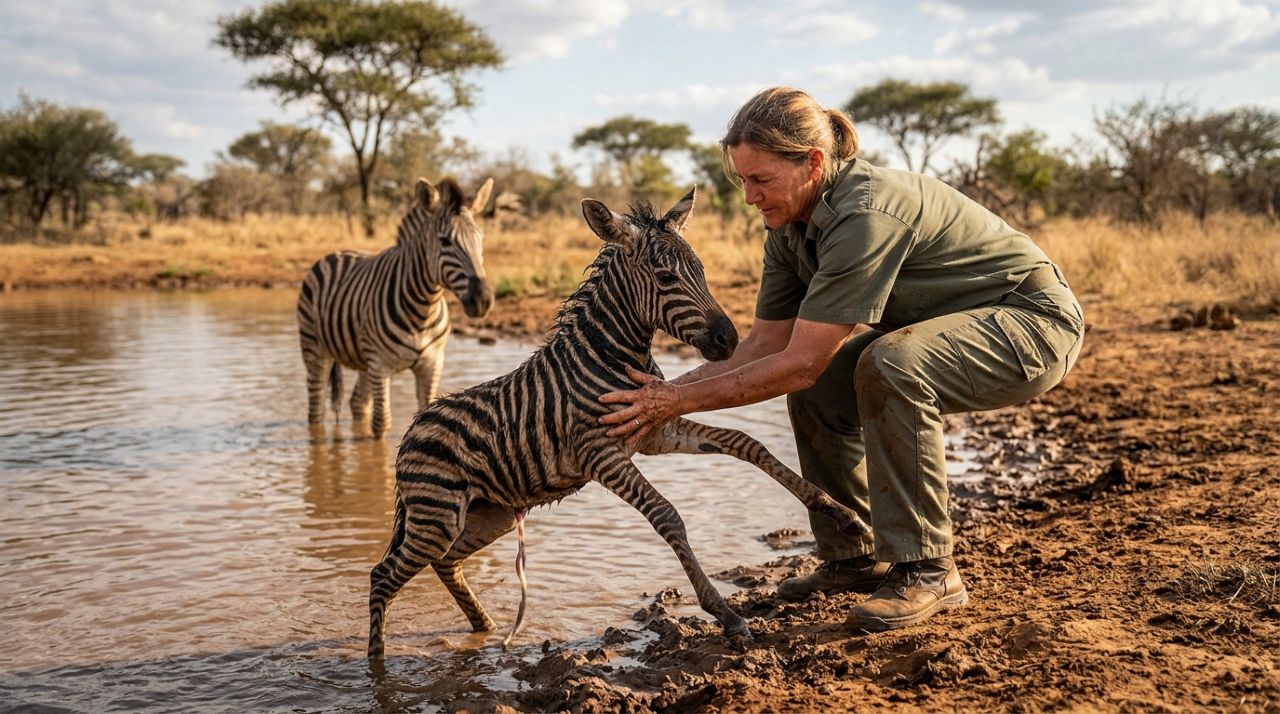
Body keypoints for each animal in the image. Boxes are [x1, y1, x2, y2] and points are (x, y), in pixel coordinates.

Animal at [297, 176, 495, 438]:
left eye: (481, 239)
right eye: (444, 241)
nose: (483, 299)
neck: (423, 309)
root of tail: (336, 252)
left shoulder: (431, 363)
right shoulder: (380, 365)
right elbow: (382, 421)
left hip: (363, 359)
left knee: (357, 402)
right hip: (315, 349)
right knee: (316, 408)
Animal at [367, 188, 869, 658]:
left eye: (702, 270)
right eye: (666, 278)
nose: (728, 341)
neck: (615, 355)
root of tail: (412, 429)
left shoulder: (654, 429)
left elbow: (746, 442)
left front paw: (840, 513)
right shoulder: (602, 455)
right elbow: (667, 515)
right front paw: (725, 614)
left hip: (488, 517)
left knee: (444, 563)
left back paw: (484, 627)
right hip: (436, 516)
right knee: (382, 576)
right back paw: (378, 665)